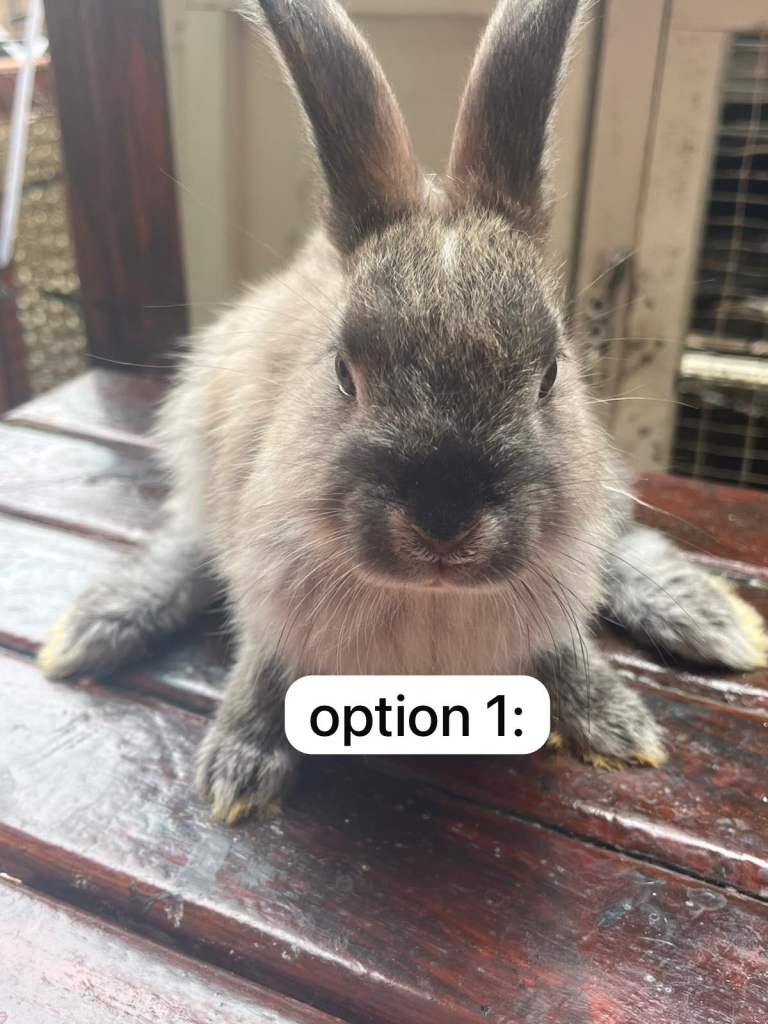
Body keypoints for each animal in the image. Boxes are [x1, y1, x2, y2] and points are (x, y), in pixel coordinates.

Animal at [39, 0, 768, 823]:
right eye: (341, 371)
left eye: (550, 374)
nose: (443, 521)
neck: (430, 602)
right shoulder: (269, 590)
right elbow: (264, 666)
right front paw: (238, 769)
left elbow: (568, 646)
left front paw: (614, 722)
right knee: (186, 547)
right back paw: (99, 627)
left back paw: (710, 621)